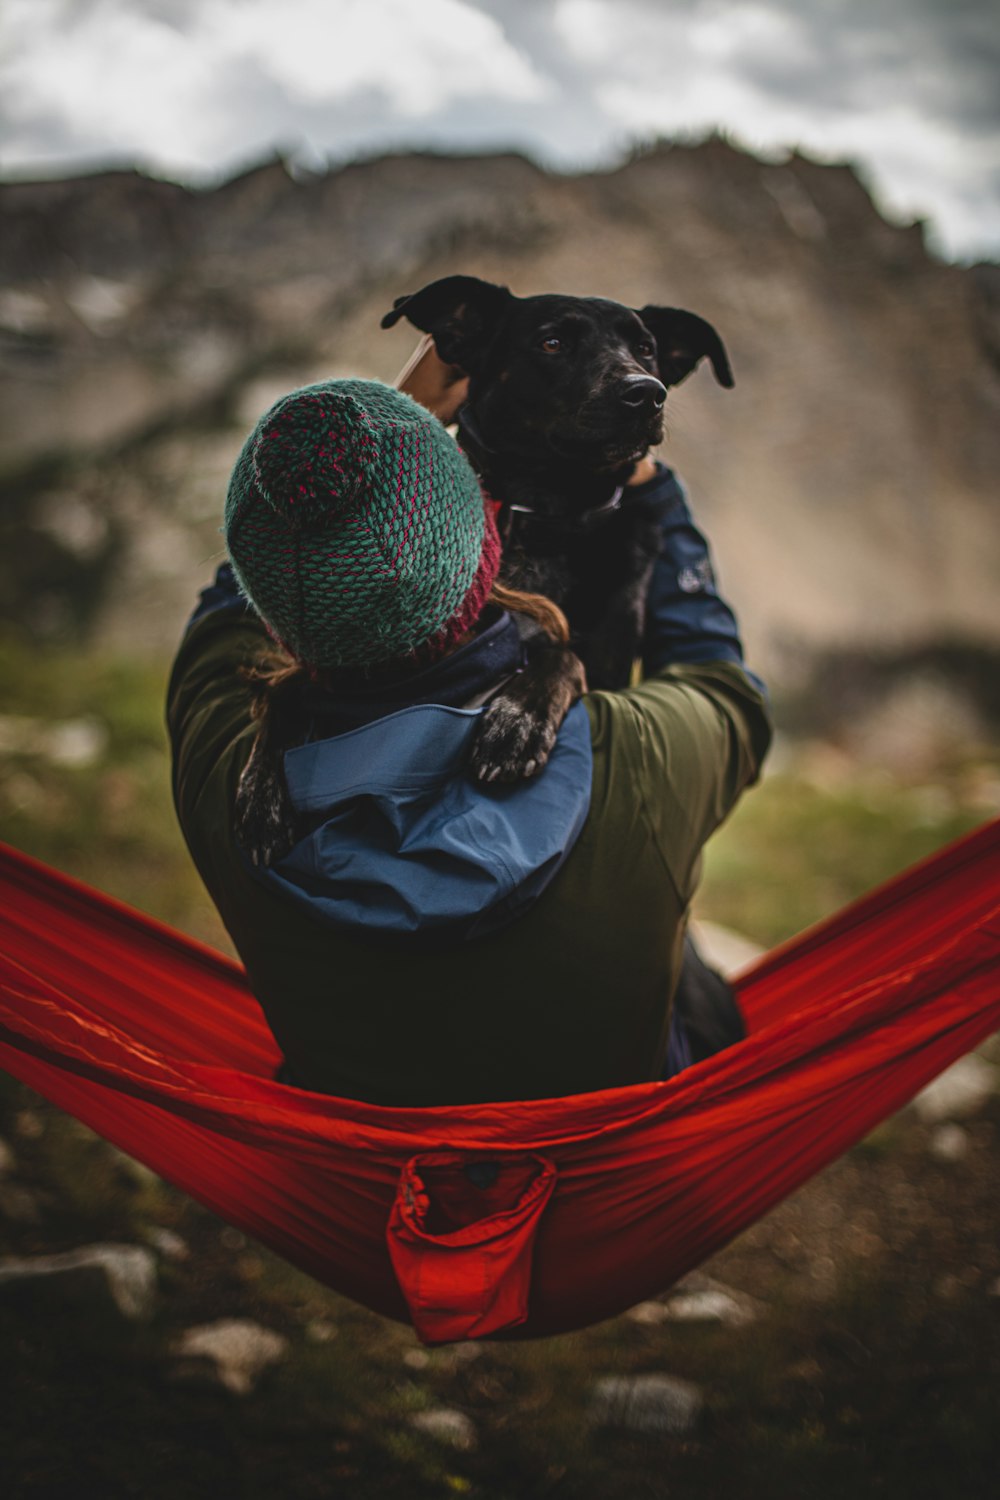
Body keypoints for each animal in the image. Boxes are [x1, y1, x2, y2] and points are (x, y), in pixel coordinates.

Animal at [379, 274, 731, 780]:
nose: (647, 392)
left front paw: (520, 719)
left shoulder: (611, 680)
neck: (543, 513)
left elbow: (563, 655)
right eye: (552, 342)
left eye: (645, 348)